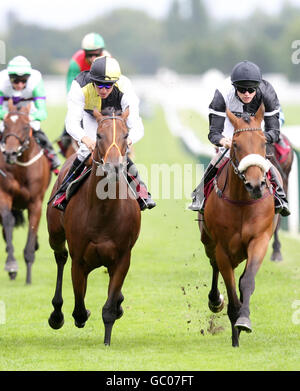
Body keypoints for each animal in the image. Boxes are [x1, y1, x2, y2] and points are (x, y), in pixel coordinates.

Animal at [0, 101, 51, 284]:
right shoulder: (4, 195)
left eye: (26, 126)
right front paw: (11, 264)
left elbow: (32, 228)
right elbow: (8, 222)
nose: (10, 153)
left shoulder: (36, 203)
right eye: (5, 124)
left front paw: (28, 277)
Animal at [47, 106, 141, 346]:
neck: (103, 212)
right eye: (99, 135)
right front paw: (78, 315)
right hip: (55, 235)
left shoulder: (122, 258)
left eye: (126, 135)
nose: (114, 166)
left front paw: (107, 339)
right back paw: (56, 314)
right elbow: (79, 308)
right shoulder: (79, 259)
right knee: (60, 257)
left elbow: (109, 307)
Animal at [199, 103, 278, 346]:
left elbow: (247, 281)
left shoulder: (259, 240)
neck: (243, 202)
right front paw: (236, 329)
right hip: (208, 242)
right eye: (235, 144)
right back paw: (215, 300)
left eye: (263, 142)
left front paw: (244, 320)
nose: (255, 185)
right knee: (214, 265)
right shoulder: (222, 248)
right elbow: (231, 289)